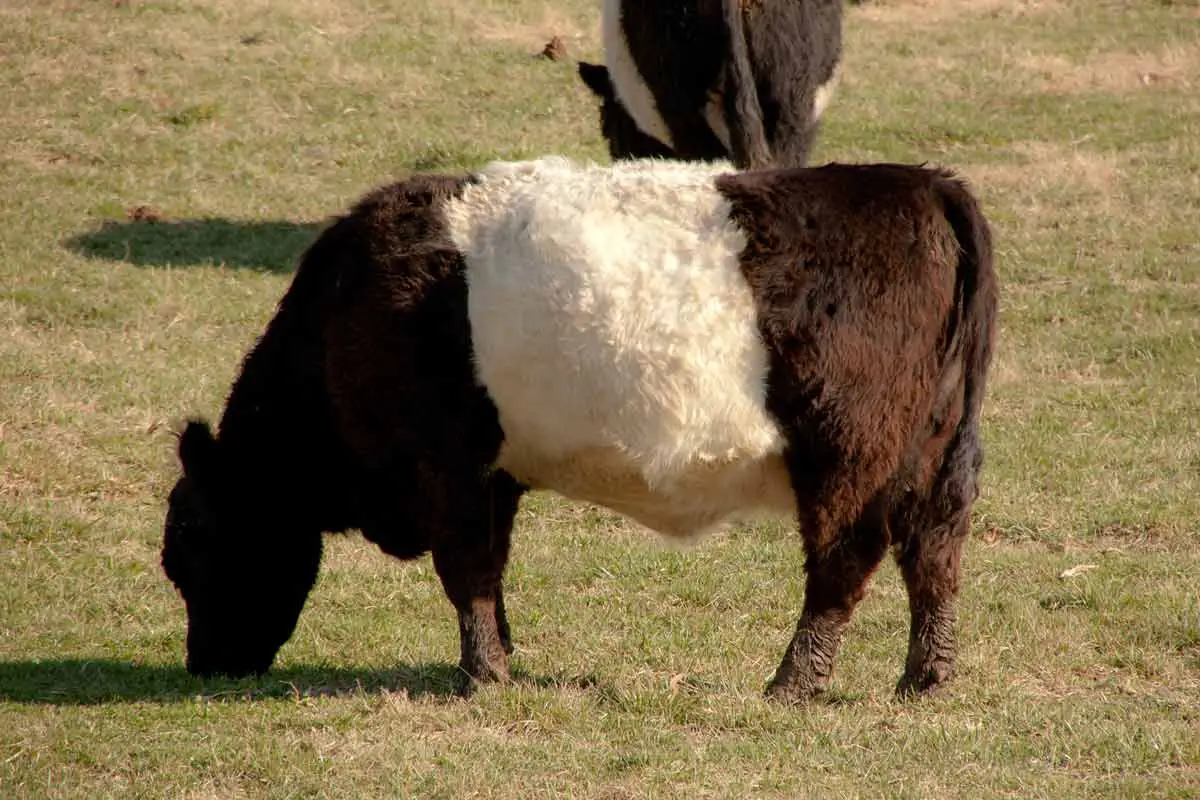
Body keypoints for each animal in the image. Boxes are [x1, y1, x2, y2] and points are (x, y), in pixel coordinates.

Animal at [164, 154, 998, 700]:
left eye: (191, 546)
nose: (207, 665)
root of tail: (923, 183)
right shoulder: (492, 476)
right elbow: (488, 574)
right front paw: (498, 660)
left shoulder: (448, 468)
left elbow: (464, 570)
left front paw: (482, 677)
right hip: (937, 450)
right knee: (935, 550)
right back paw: (926, 678)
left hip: (847, 452)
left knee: (845, 560)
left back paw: (793, 683)